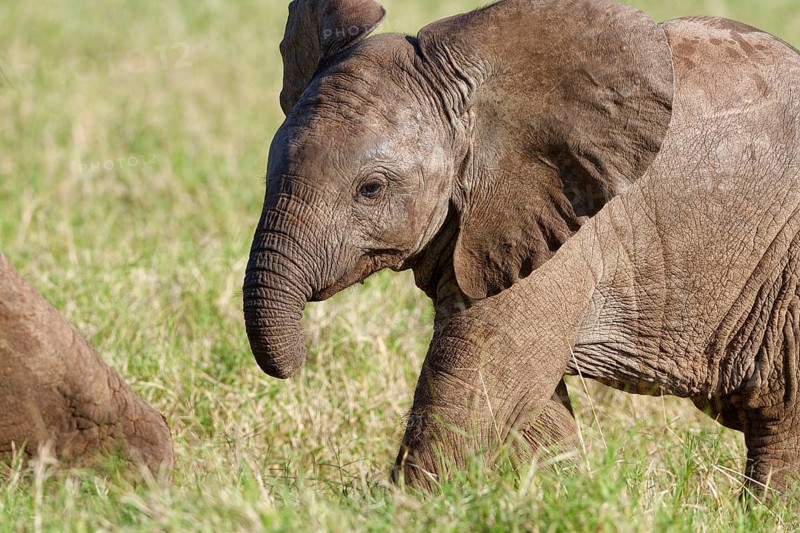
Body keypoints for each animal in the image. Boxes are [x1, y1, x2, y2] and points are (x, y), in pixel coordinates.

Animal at [241, 0, 798, 489]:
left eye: (371, 189)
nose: (301, 362)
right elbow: (528, 400)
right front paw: (565, 496)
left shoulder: (576, 226)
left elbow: (484, 379)